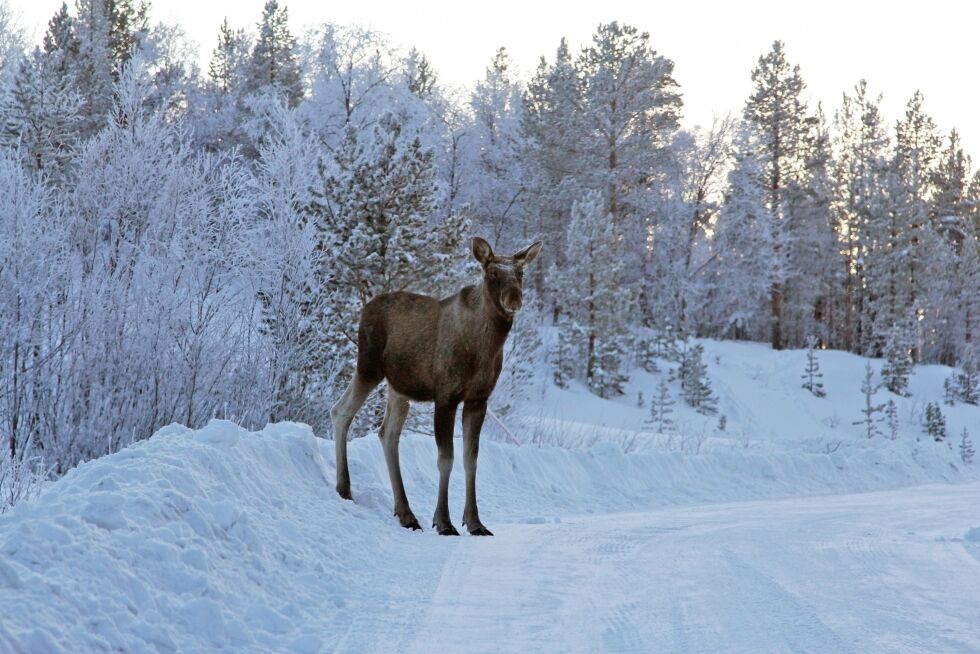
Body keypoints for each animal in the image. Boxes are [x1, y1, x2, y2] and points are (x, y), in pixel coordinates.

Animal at [332, 238, 544, 536]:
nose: (514, 300)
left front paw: (475, 522)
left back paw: (406, 513)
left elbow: (471, 458)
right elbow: (446, 459)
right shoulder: (446, 396)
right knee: (341, 411)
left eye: (521, 273)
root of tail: (366, 307)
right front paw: (444, 521)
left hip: (398, 387)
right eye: (491, 273)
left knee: (388, 433)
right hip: (368, 367)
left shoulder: (478, 399)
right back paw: (344, 489)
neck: (485, 348)